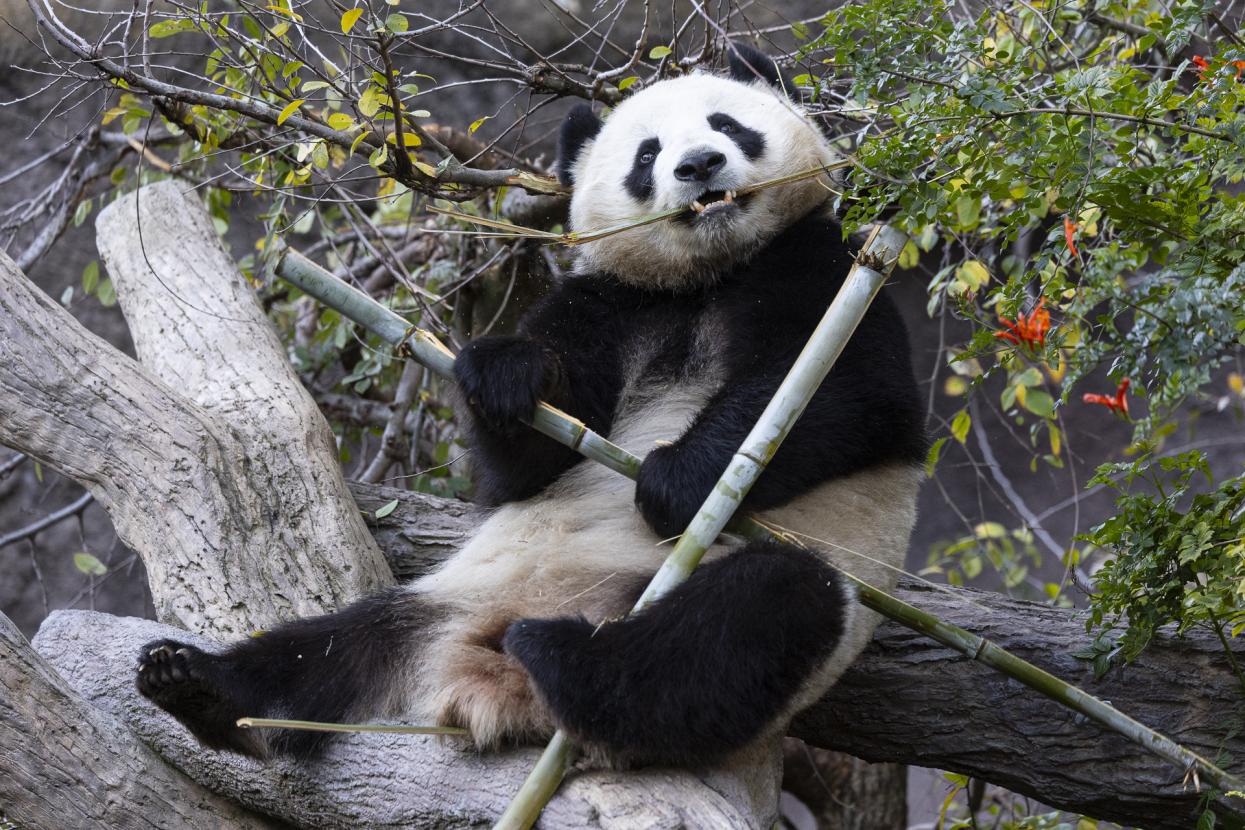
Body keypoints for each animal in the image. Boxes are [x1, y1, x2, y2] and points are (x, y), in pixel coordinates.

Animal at [135, 43, 926, 770]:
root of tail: (487, 673)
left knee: (738, 625)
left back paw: (565, 657)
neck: (708, 276)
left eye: (727, 124)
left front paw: (675, 480)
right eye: (647, 154)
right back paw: (199, 685)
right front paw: (506, 378)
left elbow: (844, 398)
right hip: (451, 595)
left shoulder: (832, 275)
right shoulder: (612, 302)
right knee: (333, 644)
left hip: (791, 583)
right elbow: (527, 460)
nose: (699, 165)